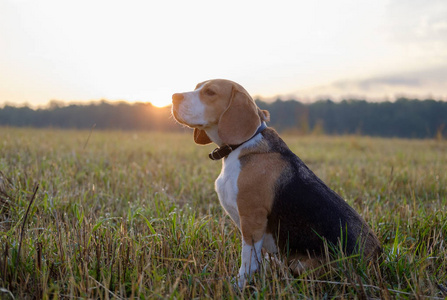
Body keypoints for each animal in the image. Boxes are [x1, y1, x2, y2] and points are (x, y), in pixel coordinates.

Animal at [172, 79, 382, 288]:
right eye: (197, 87)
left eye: (210, 92)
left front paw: (237, 285)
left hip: (303, 264)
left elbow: (248, 260)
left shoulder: (252, 218)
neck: (242, 145)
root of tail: (376, 258)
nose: (174, 97)